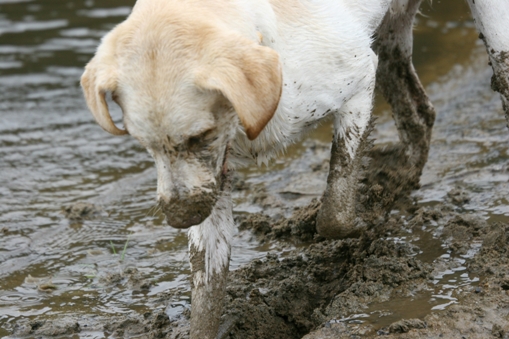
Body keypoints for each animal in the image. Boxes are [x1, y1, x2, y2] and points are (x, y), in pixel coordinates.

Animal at [82, 0, 508, 339]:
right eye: (145, 144)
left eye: (199, 135)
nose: (179, 218)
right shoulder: (211, 179)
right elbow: (207, 289)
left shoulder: (357, 80)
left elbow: (335, 210)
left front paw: (369, 219)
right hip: (390, 37)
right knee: (419, 115)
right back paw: (399, 183)